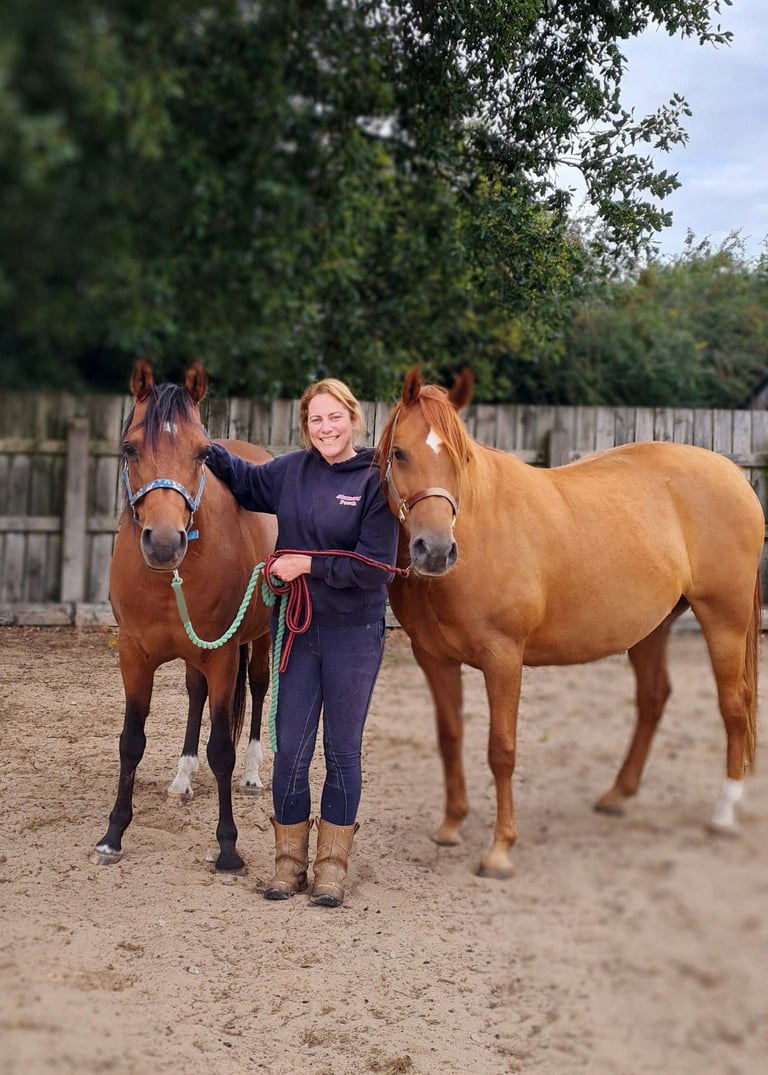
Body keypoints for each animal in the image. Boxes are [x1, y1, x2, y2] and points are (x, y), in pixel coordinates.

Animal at [91, 358, 277, 873]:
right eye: (129, 447)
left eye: (201, 453)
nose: (163, 542)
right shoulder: (134, 657)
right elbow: (131, 741)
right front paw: (113, 834)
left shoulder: (223, 657)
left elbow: (223, 749)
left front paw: (228, 847)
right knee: (195, 696)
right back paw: (183, 777)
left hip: (260, 638)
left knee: (258, 689)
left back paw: (252, 775)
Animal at [377, 366, 765, 878]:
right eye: (400, 452)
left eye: (461, 458)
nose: (436, 550)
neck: (481, 528)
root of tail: (733, 475)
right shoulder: (434, 660)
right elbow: (450, 736)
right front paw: (450, 825)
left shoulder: (504, 659)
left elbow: (501, 749)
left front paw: (500, 850)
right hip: (652, 628)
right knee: (653, 699)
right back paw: (618, 795)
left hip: (725, 619)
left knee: (734, 706)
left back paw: (723, 811)